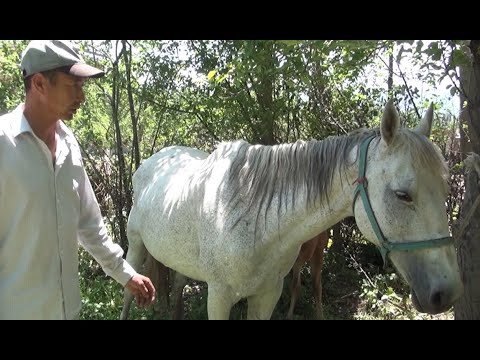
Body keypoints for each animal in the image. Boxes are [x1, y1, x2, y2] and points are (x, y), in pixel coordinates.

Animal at [122, 101, 464, 320]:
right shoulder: (218, 297)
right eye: (402, 195)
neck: (254, 220)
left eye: (446, 189)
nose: (447, 292)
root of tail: (154, 161)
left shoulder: (267, 295)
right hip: (135, 248)